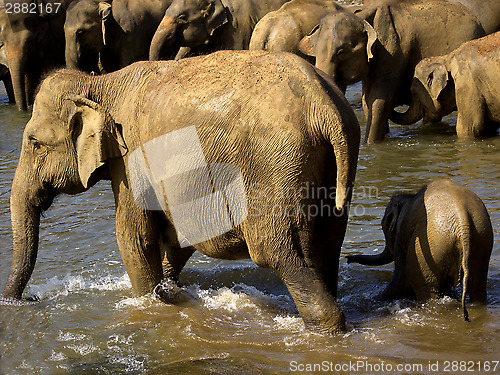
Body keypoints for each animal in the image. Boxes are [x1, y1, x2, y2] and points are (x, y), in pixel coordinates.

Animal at [0, 51, 360, 336]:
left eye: (34, 143)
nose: (28, 299)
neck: (101, 83)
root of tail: (323, 105)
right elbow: (175, 238)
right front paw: (168, 291)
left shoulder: (132, 162)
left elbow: (134, 238)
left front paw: (150, 305)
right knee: (325, 248)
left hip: (276, 164)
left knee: (277, 250)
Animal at [296, 0, 484, 144]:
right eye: (314, 50)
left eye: (341, 52)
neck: (362, 16)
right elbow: (367, 101)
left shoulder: (394, 53)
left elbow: (379, 100)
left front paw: (371, 144)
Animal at [346, 181, 494, 322]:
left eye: (384, 227)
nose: (348, 259)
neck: (408, 197)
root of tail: (463, 221)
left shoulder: (401, 233)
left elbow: (401, 276)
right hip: (481, 240)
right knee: (477, 286)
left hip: (432, 248)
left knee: (424, 286)